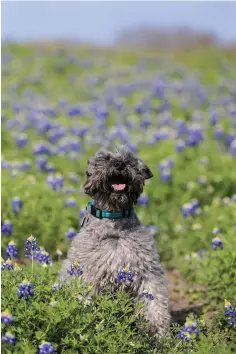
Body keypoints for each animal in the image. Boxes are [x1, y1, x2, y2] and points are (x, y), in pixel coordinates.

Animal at [58, 144, 171, 334]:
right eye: (105, 159)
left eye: (129, 160)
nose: (119, 164)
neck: (114, 220)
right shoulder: (88, 275)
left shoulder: (148, 272)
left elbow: (154, 304)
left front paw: (158, 333)